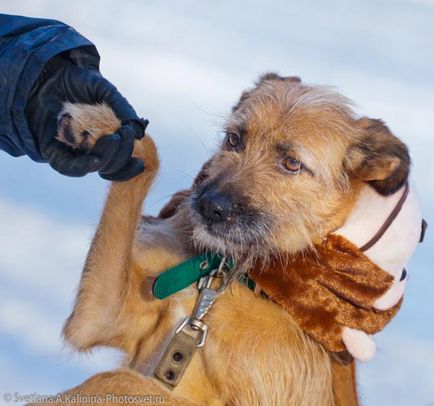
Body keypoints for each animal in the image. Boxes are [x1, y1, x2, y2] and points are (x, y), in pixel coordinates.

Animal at [44, 74, 414, 404]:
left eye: (292, 163)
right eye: (235, 139)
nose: (209, 206)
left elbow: (122, 381)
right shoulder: (99, 317)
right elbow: (148, 153)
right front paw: (100, 124)